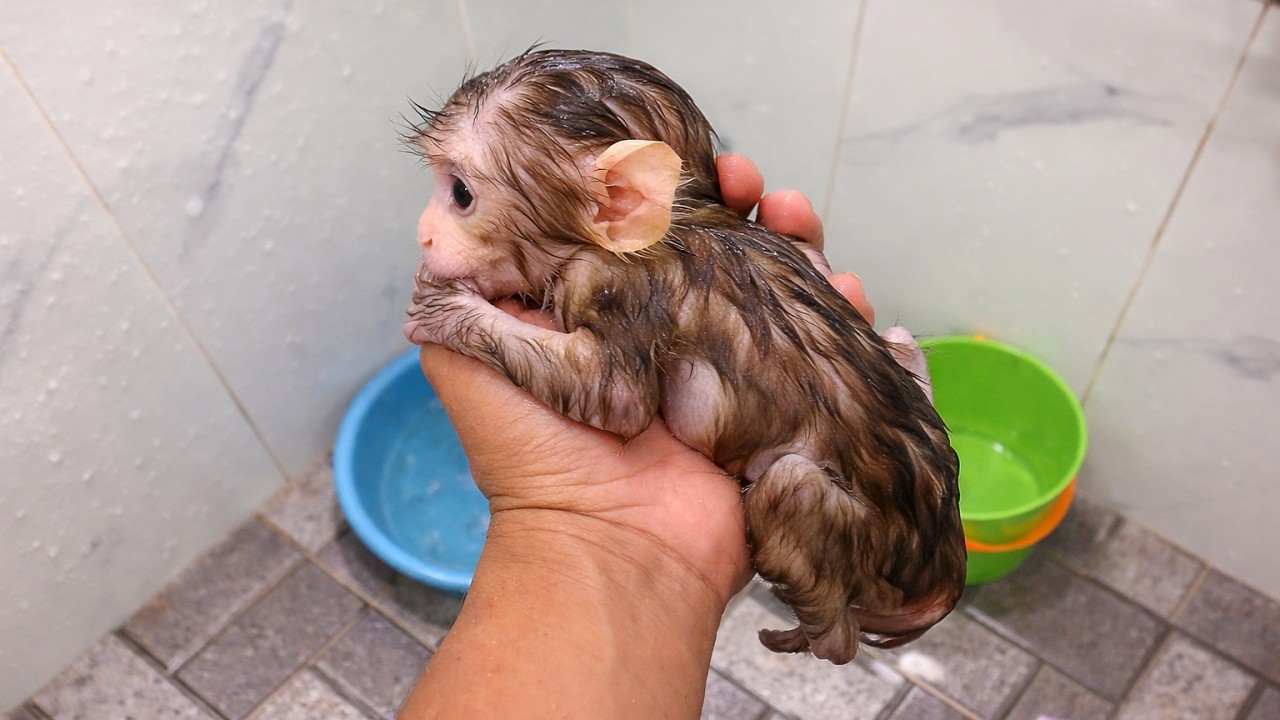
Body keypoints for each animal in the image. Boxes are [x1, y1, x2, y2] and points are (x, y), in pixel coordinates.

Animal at [402, 49, 965, 665]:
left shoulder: (609, 283)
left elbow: (617, 397)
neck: (680, 218)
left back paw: (817, 632)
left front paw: (443, 309)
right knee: (899, 339)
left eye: (460, 194)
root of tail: (947, 562)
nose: (422, 234)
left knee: (793, 492)